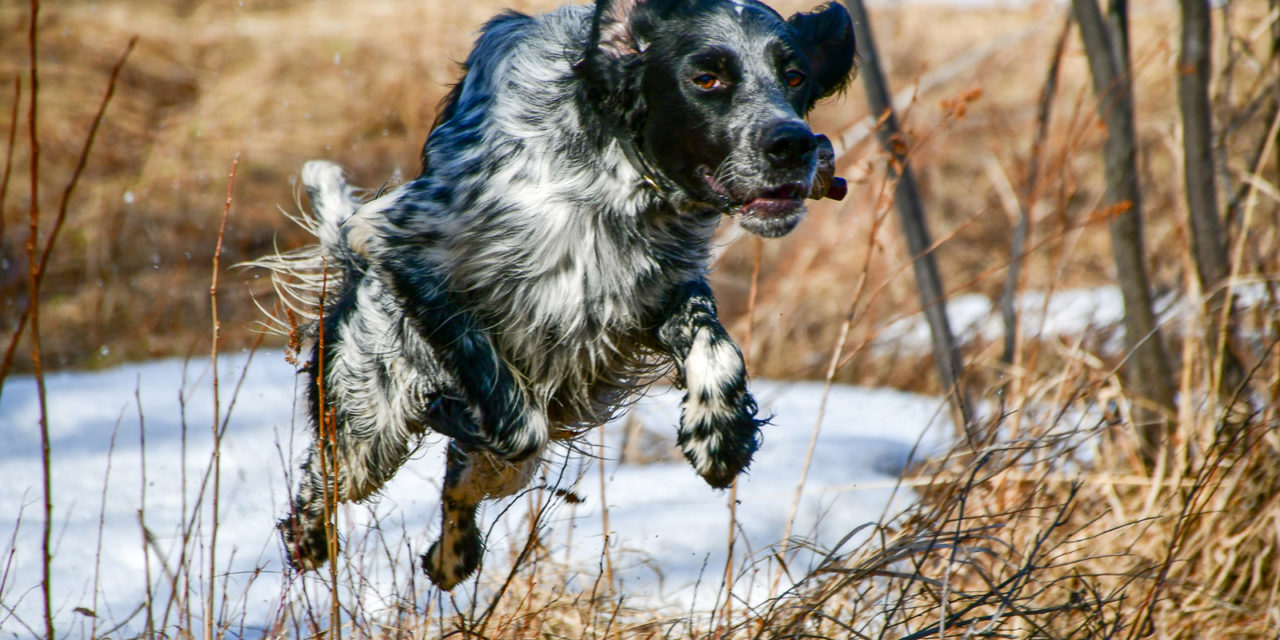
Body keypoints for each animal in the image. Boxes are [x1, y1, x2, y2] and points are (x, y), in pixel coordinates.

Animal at [258, 0, 855, 588]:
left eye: (794, 75)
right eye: (706, 79)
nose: (794, 144)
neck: (610, 174)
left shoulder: (655, 289)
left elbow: (717, 344)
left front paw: (720, 432)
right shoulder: (397, 242)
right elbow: (514, 415)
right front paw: (463, 411)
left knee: (461, 490)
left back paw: (450, 557)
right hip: (367, 422)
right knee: (329, 476)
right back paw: (310, 537)